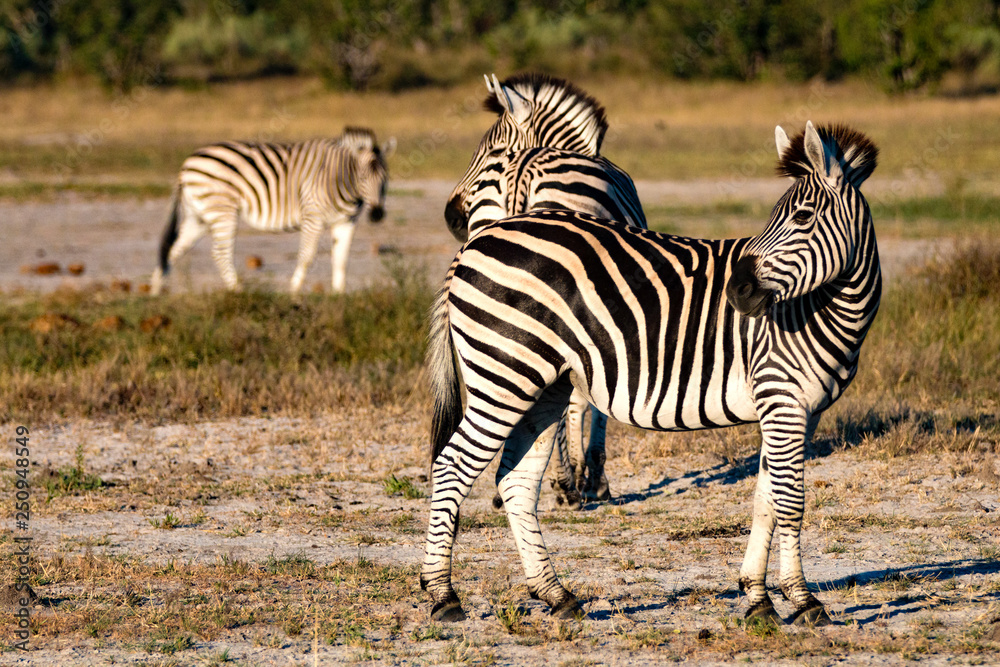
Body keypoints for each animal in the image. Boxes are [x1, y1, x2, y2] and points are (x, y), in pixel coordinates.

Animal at [151, 128, 395, 295]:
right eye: (362, 177)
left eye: (386, 178)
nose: (377, 215)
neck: (341, 179)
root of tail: (186, 165)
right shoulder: (313, 216)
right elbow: (307, 256)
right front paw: (294, 291)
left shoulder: (346, 221)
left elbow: (341, 259)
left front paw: (339, 294)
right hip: (222, 210)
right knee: (220, 253)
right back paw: (238, 291)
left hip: (198, 216)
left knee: (173, 250)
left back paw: (156, 290)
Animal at [446, 144, 648, 508]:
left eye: (487, 151)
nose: (453, 217)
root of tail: (523, 170)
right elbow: (588, 405)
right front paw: (590, 478)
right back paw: (566, 485)